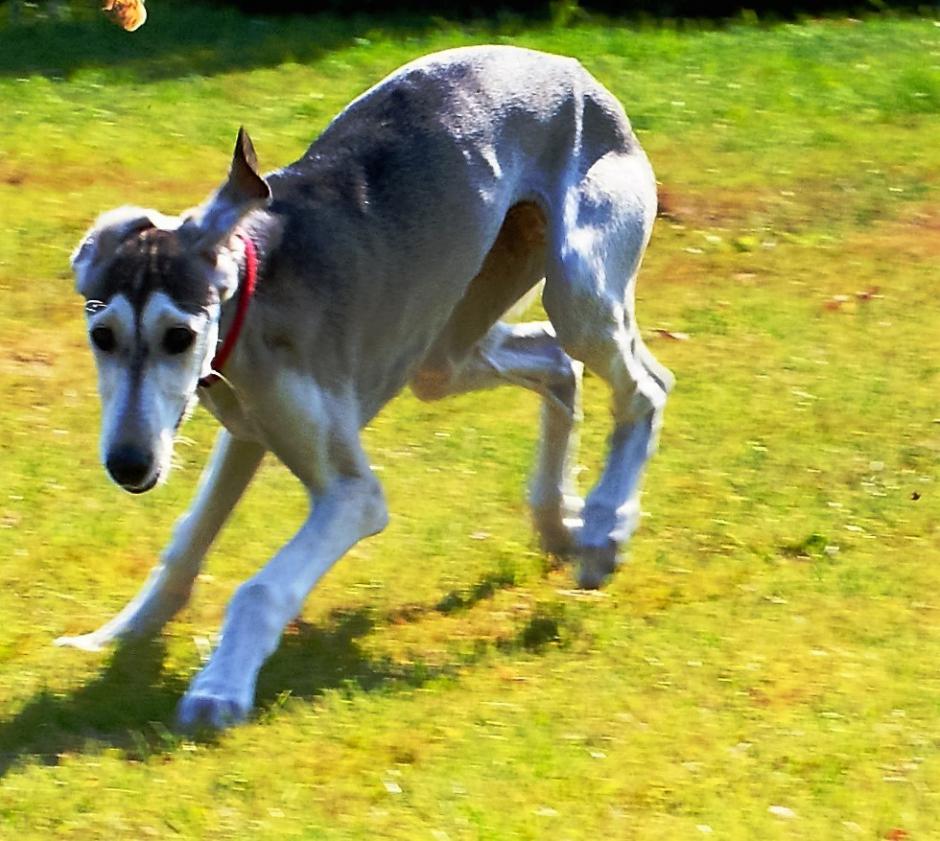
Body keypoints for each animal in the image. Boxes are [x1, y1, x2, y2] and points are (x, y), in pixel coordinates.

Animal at [58, 47, 672, 728]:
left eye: (178, 336)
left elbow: (260, 587)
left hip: (578, 289)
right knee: (556, 362)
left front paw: (218, 689)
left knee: (645, 387)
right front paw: (117, 634)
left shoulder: (351, 496)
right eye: (102, 335)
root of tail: (573, 70)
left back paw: (604, 527)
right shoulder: (247, 431)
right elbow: (188, 540)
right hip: (445, 346)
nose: (128, 465)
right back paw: (560, 523)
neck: (253, 290)